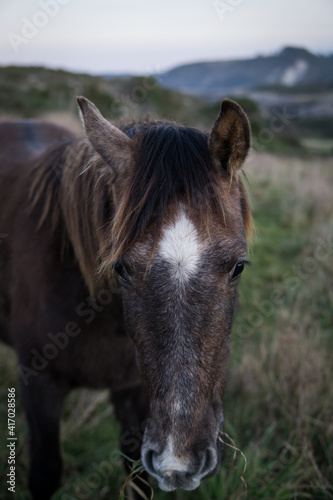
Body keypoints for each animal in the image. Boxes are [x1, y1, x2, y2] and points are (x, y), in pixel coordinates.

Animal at [0, 95, 250, 498]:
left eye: (238, 266)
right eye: (121, 268)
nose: (179, 462)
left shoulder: (133, 391)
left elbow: (136, 476)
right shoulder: (39, 389)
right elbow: (45, 473)